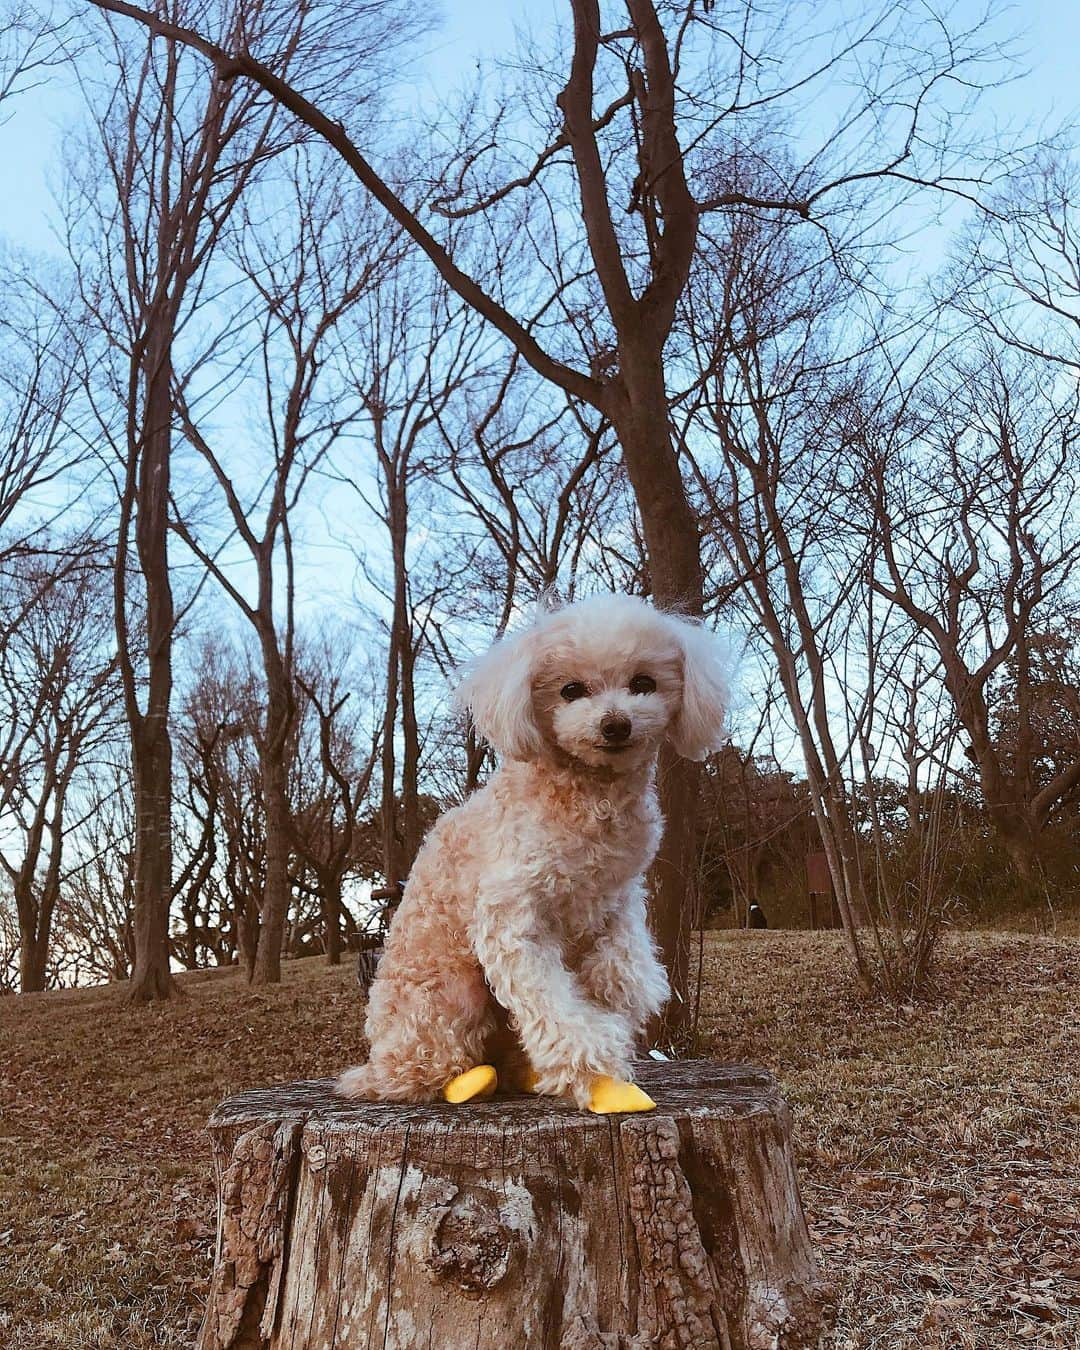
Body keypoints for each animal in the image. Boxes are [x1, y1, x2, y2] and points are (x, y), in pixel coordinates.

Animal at [337, 596, 723, 1112]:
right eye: (570, 690)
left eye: (644, 683)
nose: (615, 724)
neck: (586, 791)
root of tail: (375, 1065)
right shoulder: (513, 915)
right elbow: (547, 997)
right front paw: (591, 1061)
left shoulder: (616, 901)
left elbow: (620, 968)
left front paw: (613, 1011)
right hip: (449, 992)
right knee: (427, 1070)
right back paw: (466, 1081)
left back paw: (525, 1073)